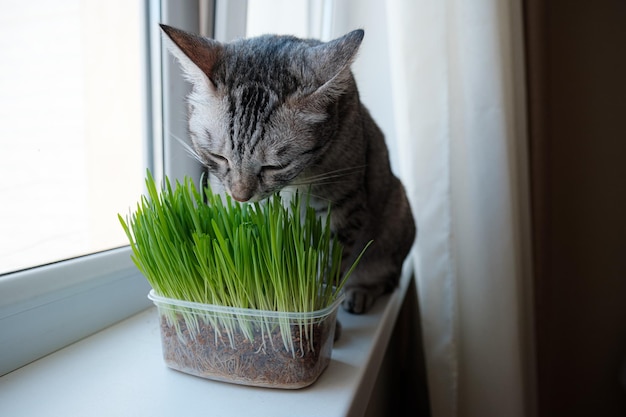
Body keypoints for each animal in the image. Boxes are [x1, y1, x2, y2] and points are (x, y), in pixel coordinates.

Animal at [161, 24, 414, 314]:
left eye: (275, 166)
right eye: (218, 156)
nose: (240, 196)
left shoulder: (343, 206)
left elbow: (327, 269)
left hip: (395, 218)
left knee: (385, 278)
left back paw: (360, 293)